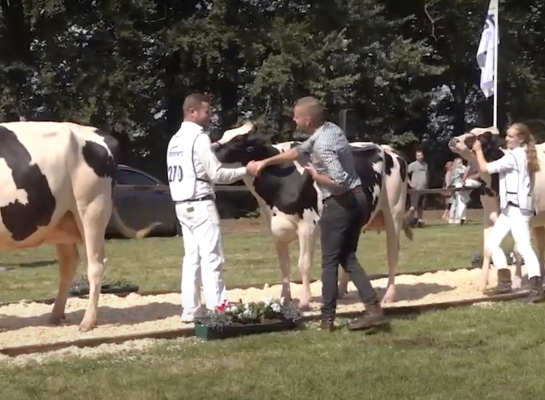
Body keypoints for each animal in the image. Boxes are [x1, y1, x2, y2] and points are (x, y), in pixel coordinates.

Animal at [0, 121, 157, 332]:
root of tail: (97, 133)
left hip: (92, 210)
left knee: (96, 264)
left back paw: (87, 322)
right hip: (63, 220)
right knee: (69, 263)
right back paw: (56, 316)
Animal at [214, 123, 412, 308]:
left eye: (240, 142)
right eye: (224, 135)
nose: (212, 149)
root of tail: (387, 149)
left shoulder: (307, 227)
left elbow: (304, 263)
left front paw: (304, 301)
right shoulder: (275, 229)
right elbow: (284, 266)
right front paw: (285, 299)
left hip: (394, 212)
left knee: (392, 254)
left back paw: (389, 296)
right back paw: (341, 291)